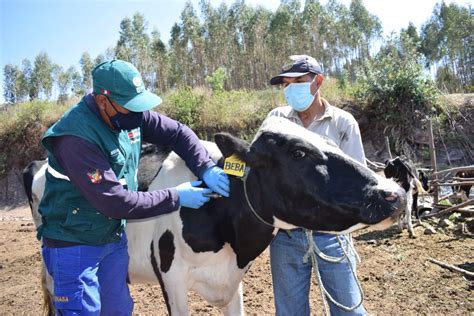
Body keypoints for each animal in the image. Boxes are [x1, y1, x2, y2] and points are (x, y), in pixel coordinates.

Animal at [23, 116, 408, 316]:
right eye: (298, 153)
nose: (395, 193)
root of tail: (38, 162)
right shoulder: (172, 278)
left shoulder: (233, 282)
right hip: (57, 263)